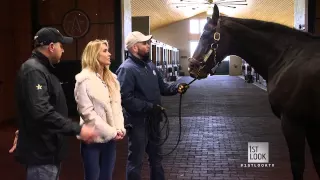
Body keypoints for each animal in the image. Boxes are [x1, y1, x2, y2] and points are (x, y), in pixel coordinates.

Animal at [188, 4, 320, 180]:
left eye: (207, 35)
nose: (192, 68)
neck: (287, 57)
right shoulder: (312, 125)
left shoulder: (293, 122)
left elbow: (297, 165)